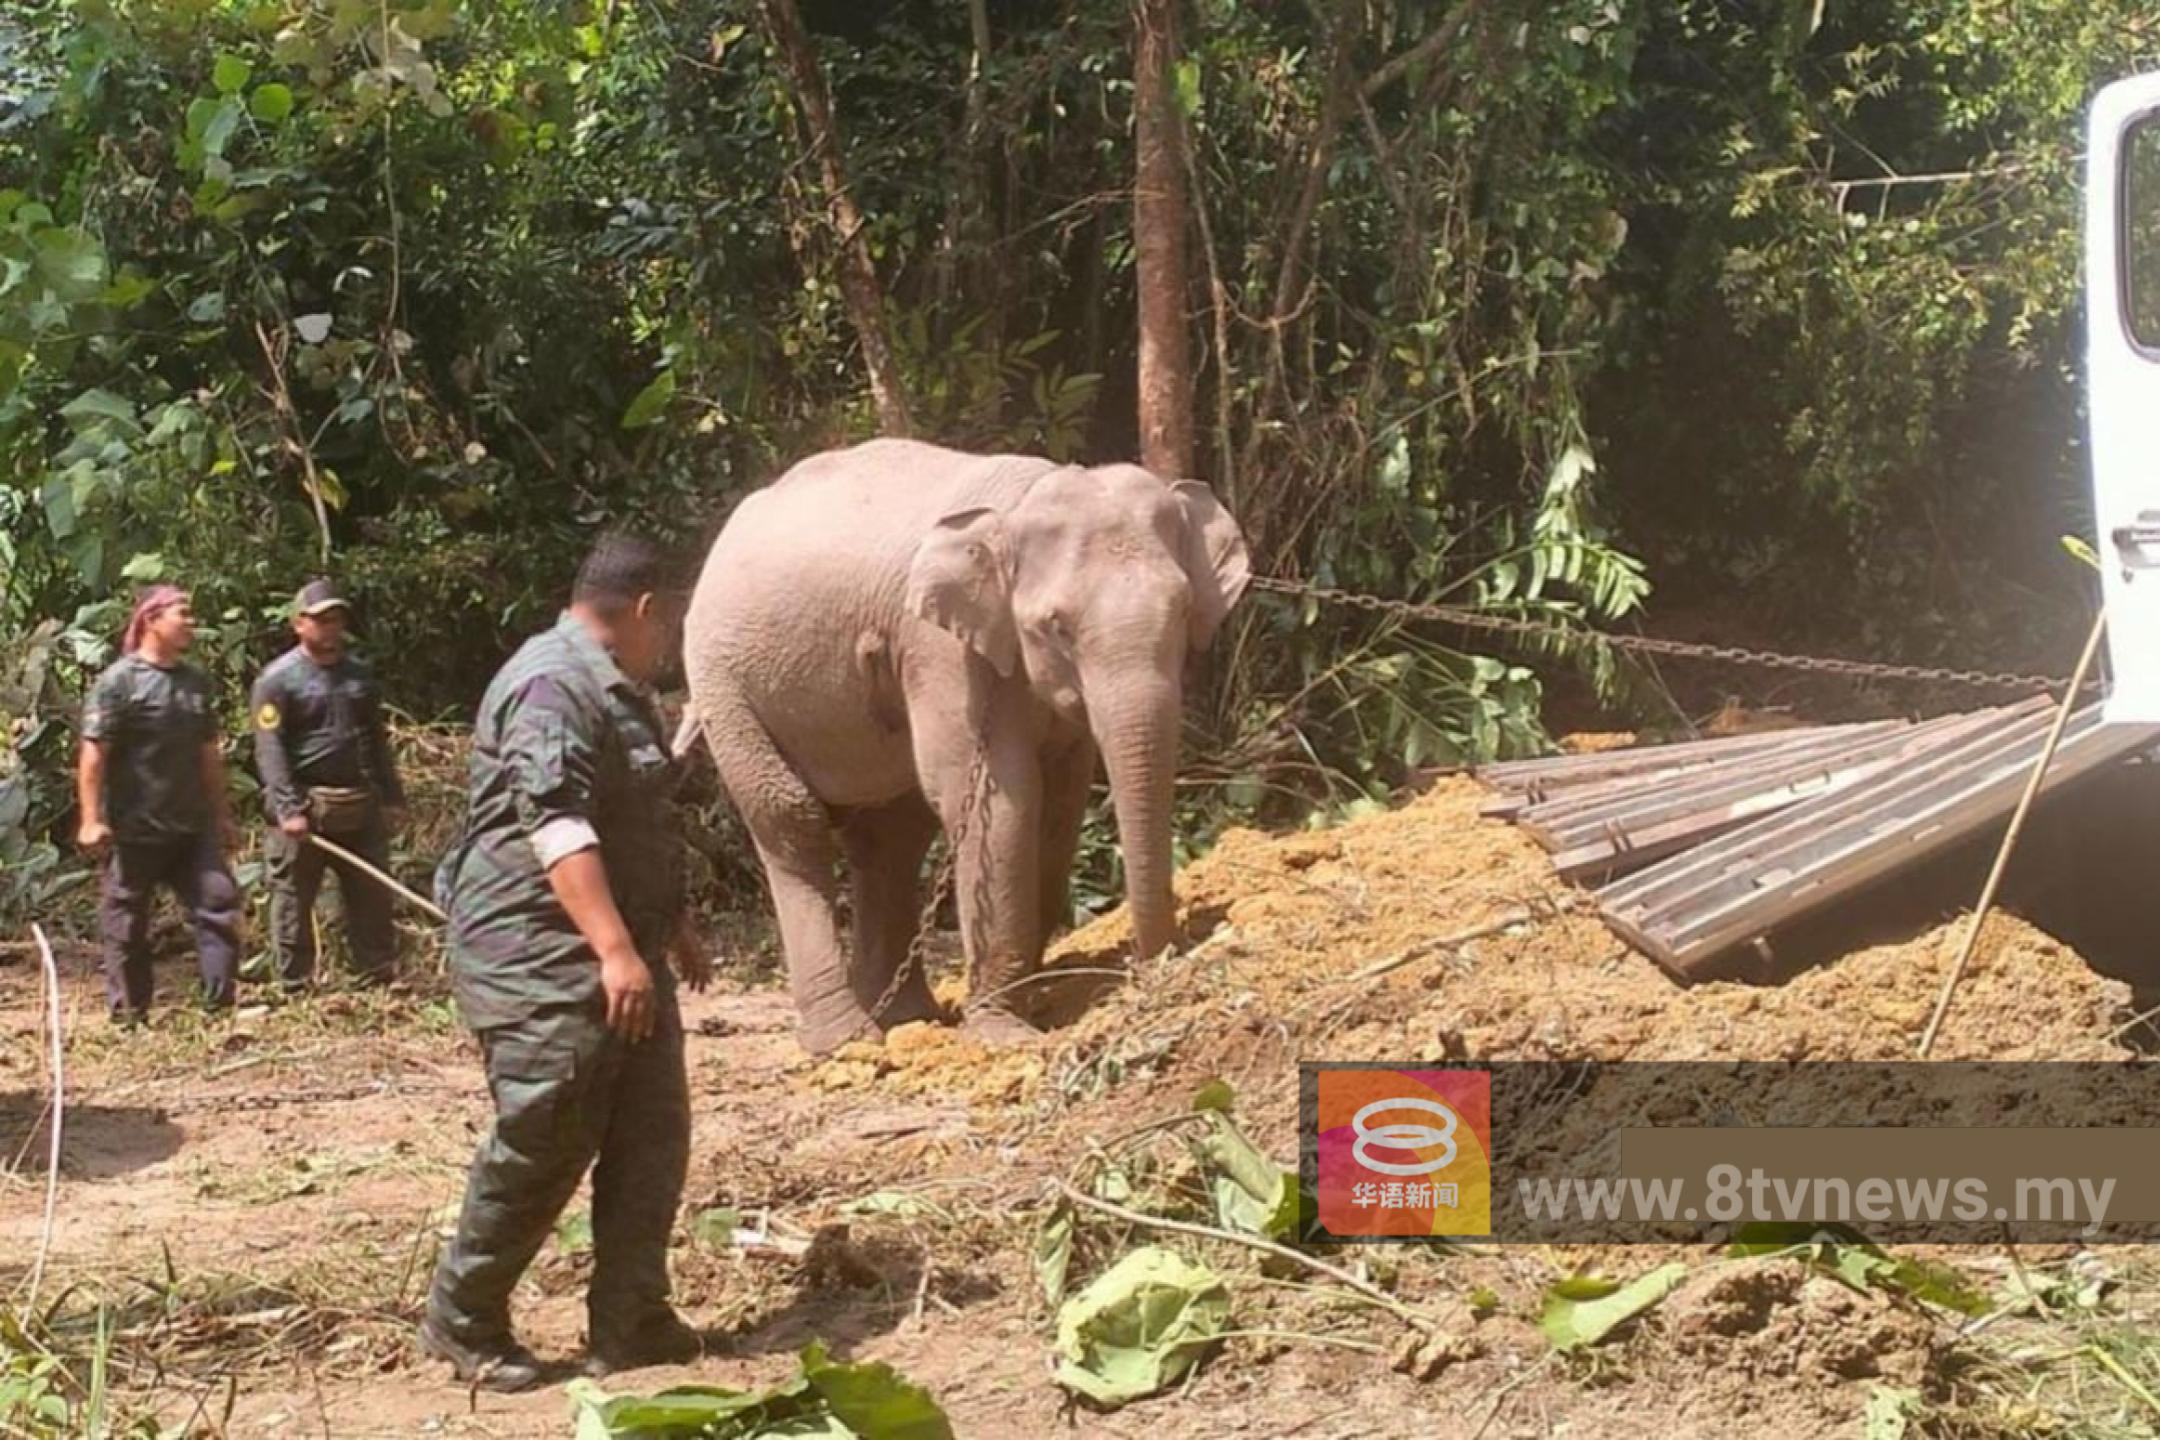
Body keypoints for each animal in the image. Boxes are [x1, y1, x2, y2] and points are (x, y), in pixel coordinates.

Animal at [673, 433, 1252, 1053]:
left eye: (1184, 610)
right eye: (1056, 627)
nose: (1155, 965)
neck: (1021, 502)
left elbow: (1062, 798)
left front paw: (1029, 998)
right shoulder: (942, 652)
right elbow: (1002, 801)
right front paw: (1005, 1032)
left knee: (891, 837)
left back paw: (904, 1018)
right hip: (724, 687)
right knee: (791, 819)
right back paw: (849, 1039)